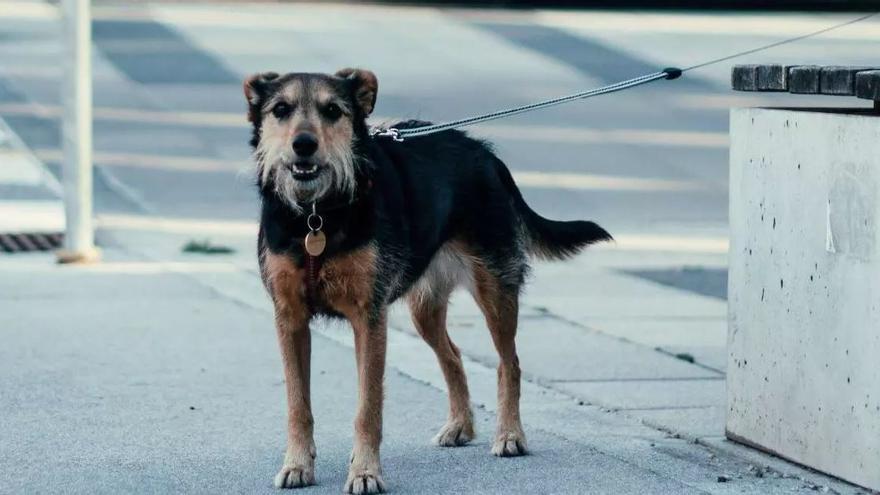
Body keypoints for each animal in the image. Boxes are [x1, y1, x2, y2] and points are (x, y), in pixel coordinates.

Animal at [244, 68, 608, 494]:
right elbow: (297, 404)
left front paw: (365, 472)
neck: (316, 216)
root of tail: (486, 155)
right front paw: (298, 464)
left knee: (509, 363)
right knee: (452, 355)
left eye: (332, 110)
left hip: (495, 290)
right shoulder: (290, 319)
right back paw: (460, 426)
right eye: (280, 110)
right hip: (425, 308)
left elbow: (368, 407)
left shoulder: (369, 319)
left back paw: (509, 434)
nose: (303, 145)